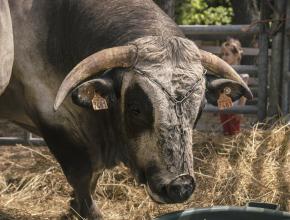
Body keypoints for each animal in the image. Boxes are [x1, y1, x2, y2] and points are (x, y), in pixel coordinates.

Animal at [0, 0, 251, 219]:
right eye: (135, 108)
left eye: (198, 111)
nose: (180, 187)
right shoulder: (58, 127)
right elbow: (82, 178)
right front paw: (85, 211)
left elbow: (93, 178)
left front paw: (73, 208)